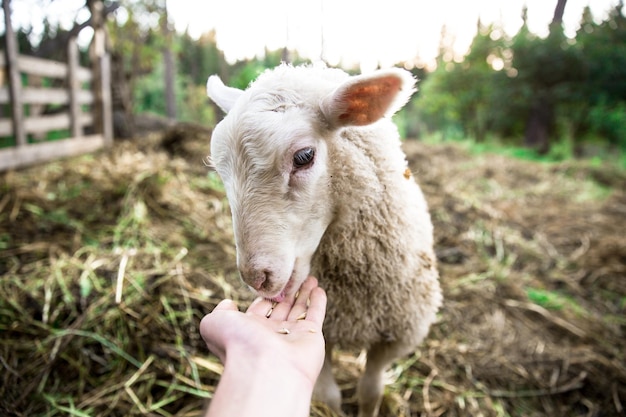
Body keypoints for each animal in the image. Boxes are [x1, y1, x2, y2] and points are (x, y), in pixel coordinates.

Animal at [205, 64, 438, 416]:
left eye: (304, 156)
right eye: (220, 172)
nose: (256, 278)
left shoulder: (393, 337)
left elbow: (370, 391)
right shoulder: (323, 335)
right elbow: (329, 398)